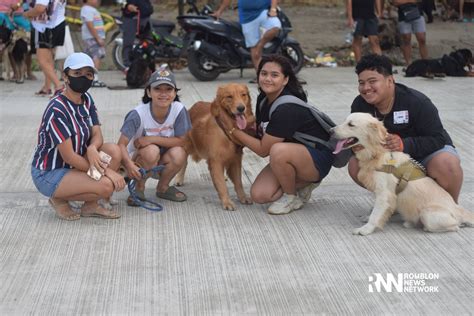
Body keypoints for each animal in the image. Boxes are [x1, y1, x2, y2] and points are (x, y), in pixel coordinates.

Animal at [332, 113, 472, 235]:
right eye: (345, 121)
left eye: (351, 124)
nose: (330, 130)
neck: (377, 153)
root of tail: (458, 209)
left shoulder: (384, 194)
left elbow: (376, 215)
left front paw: (365, 229)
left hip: (427, 214)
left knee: (455, 226)